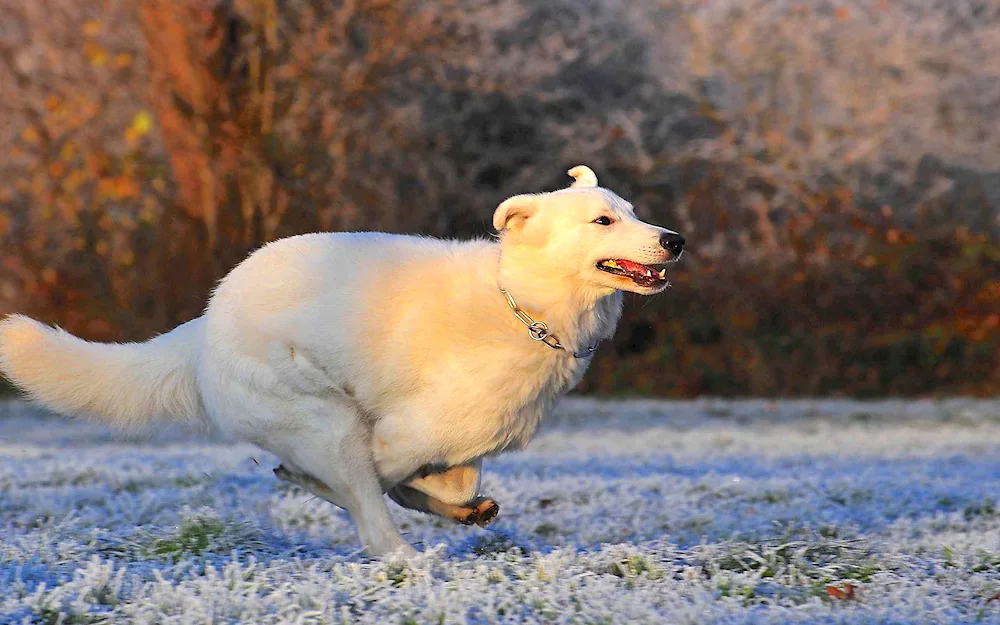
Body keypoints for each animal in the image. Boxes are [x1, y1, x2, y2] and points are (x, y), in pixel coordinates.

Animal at [0, 167, 680, 556]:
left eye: (633, 212)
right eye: (603, 220)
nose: (674, 240)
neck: (522, 302)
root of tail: (205, 325)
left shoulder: (461, 442)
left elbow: (440, 481)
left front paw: (459, 505)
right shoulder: (396, 435)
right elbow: (380, 482)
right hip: (328, 421)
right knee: (371, 519)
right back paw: (405, 560)